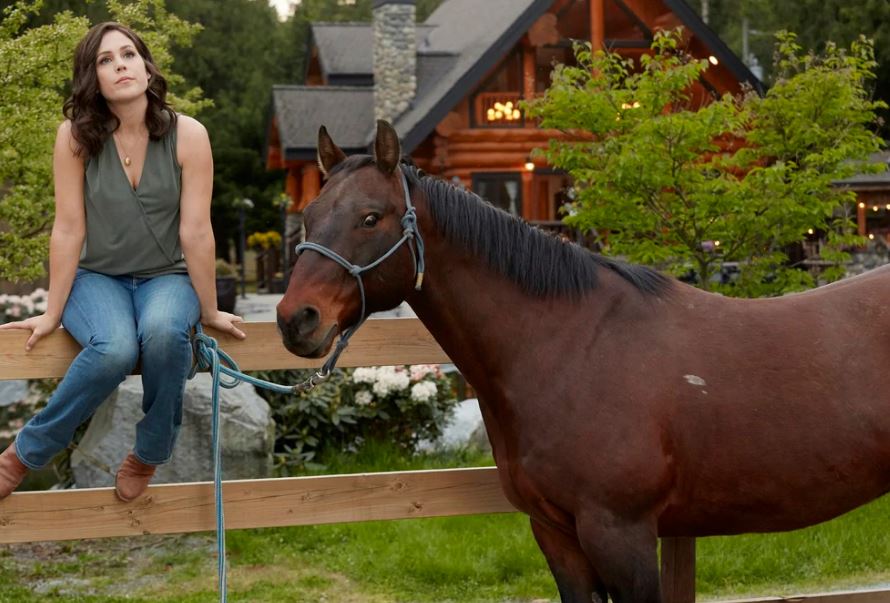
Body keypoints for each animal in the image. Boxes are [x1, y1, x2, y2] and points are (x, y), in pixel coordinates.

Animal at [276, 119, 888, 603]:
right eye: (310, 214)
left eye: (370, 217)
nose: (295, 319)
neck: (569, 346)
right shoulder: (557, 536)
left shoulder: (621, 535)